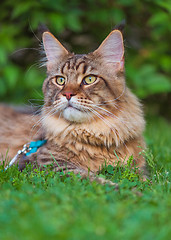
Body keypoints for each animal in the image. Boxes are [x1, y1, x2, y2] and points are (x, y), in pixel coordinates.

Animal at [0, 28, 146, 180]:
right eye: (60, 80)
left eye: (89, 79)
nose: (68, 94)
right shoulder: (49, 165)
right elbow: (91, 179)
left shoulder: (138, 168)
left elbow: (142, 178)